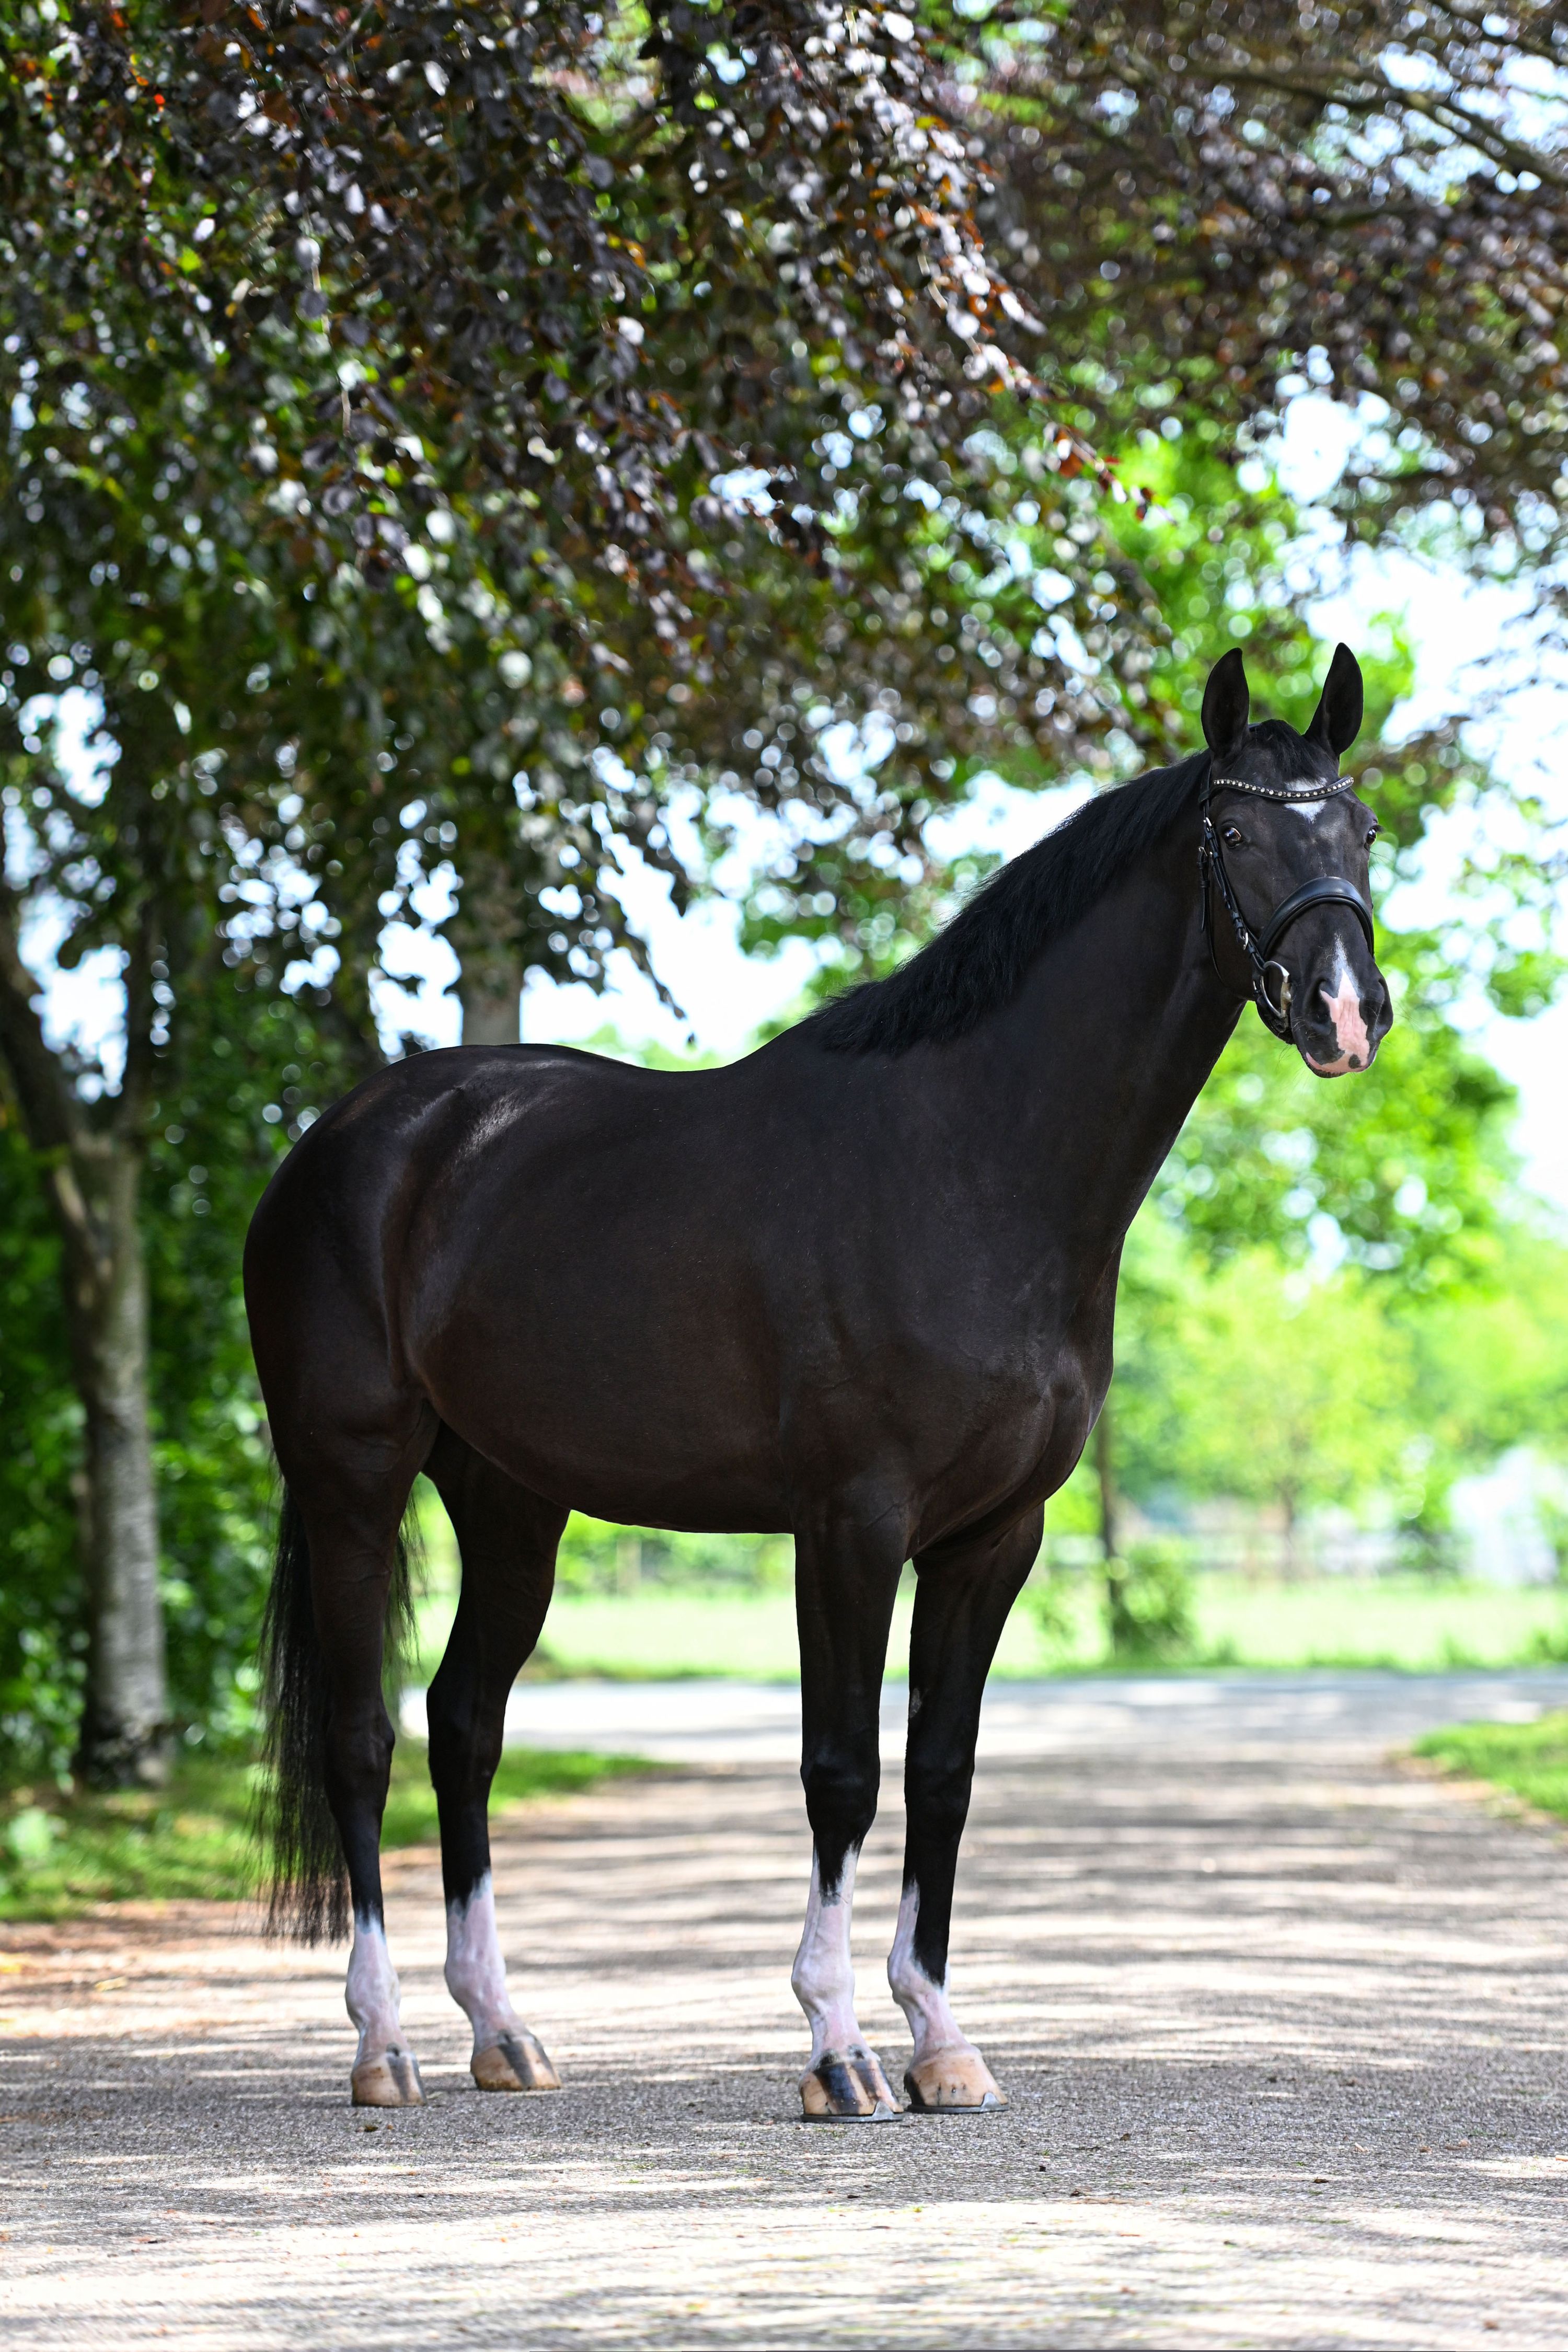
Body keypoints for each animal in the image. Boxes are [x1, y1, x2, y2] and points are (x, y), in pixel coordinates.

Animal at [244, 645, 1391, 2117]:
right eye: (1239, 836)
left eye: (1361, 832)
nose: (1347, 1013)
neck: (967, 1163)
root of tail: (345, 1141)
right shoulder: (848, 1524)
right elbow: (840, 1769)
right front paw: (838, 2049)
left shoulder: (992, 1539)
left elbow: (943, 1771)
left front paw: (941, 2041)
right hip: (353, 1480)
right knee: (361, 1735)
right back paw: (382, 2044)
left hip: (510, 1505)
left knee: (464, 1726)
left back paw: (502, 2031)